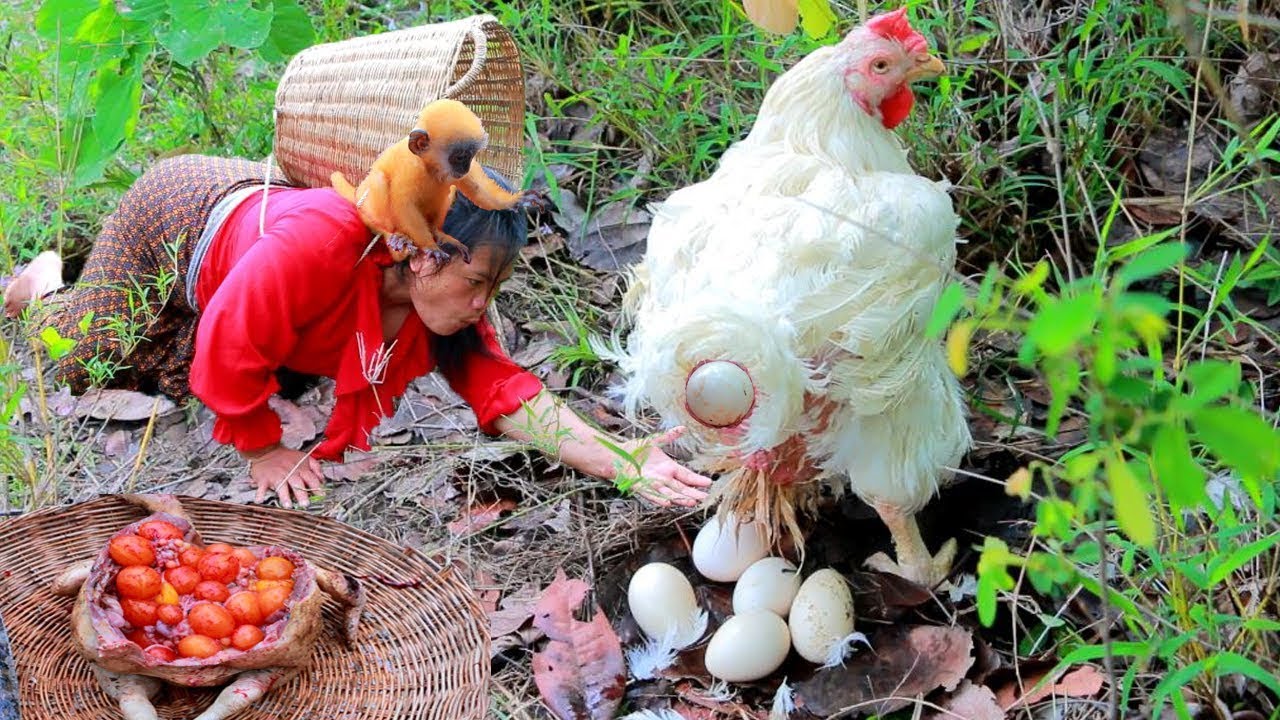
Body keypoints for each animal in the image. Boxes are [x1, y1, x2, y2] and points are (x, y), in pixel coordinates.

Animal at [330, 98, 548, 263]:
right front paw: (430, 246)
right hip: (366, 210)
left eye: (470, 157)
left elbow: (477, 189)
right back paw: (395, 238)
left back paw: (436, 232)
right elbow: (404, 204)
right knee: (379, 182)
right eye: (460, 157)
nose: (465, 167)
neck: (429, 168)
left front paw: (515, 201)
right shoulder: (410, 168)